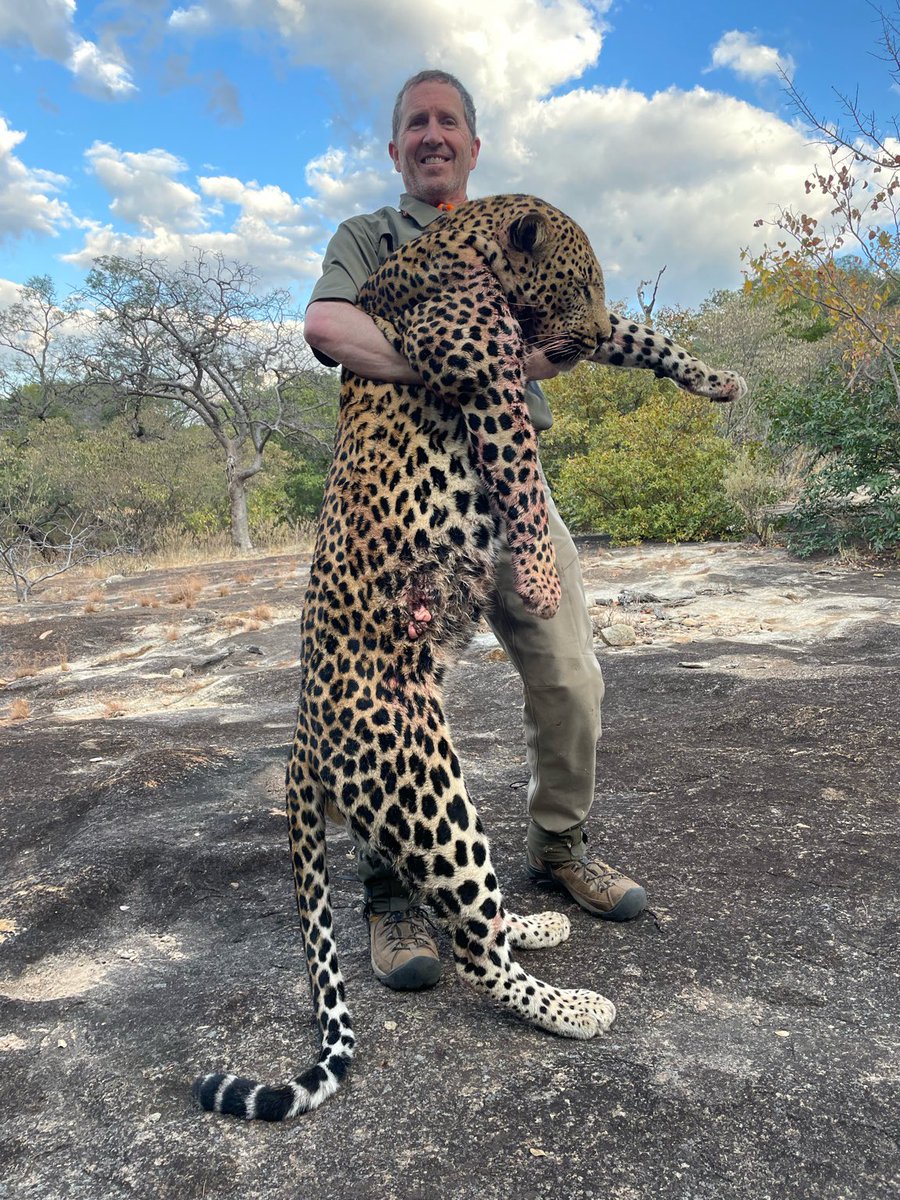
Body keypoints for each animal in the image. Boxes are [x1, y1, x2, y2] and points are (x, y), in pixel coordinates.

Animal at [192, 194, 747, 1121]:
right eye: (581, 281)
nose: (586, 331)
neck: (466, 243)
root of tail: (299, 744)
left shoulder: (534, 350)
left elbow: (645, 337)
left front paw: (716, 378)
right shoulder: (488, 378)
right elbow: (520, 476)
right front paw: (539, 575)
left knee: (471, 912)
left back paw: (539, 923)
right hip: (426, 789)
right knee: (473, 947)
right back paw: (574, 1008)